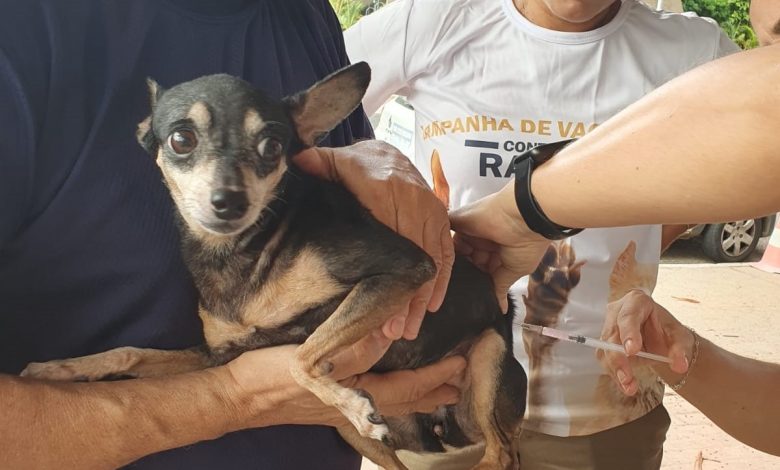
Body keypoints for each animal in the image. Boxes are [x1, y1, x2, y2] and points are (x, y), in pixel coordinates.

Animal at [21, 63, 527, 469]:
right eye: (181, 139)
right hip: (359, 437)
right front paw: (60, 369)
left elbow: (302, 357)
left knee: (503, 453)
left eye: (272, 145)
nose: (229, 200)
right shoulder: (218, 354)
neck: (239, 256)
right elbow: (130, 353)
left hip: (487, 363)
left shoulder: (403, 269)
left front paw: (347, 397)